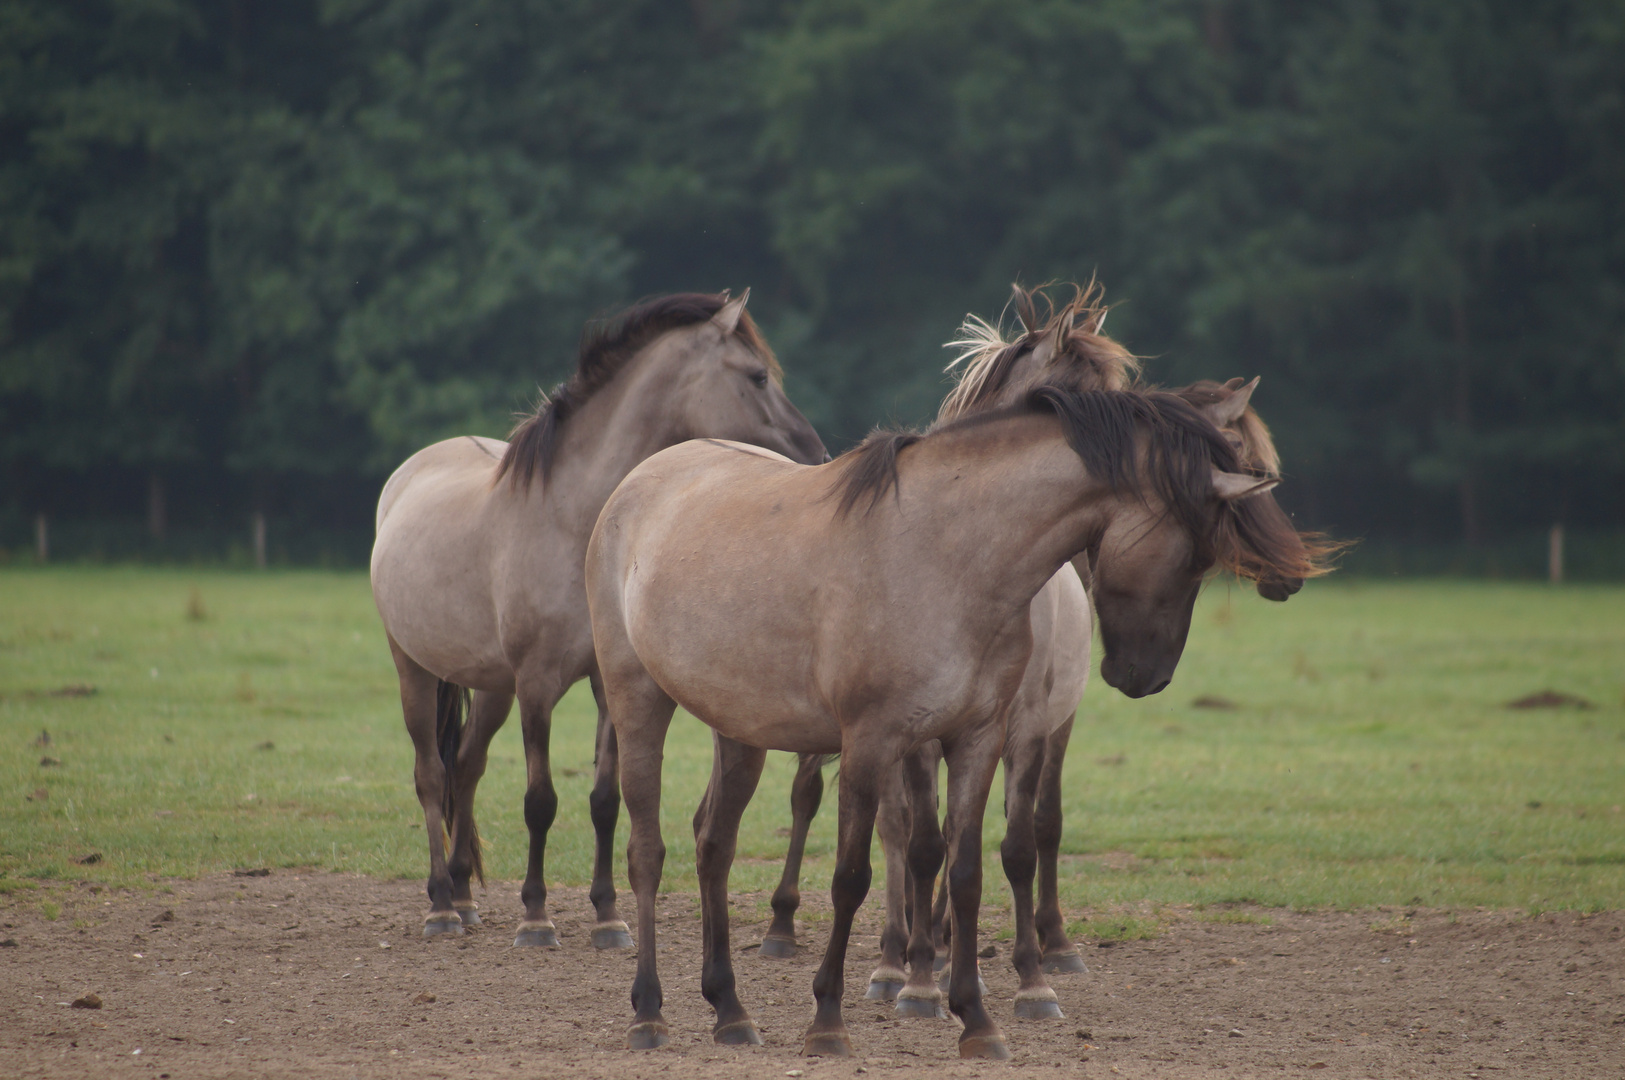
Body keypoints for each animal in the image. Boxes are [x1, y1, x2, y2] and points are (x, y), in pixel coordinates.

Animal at [368, 290, 825, 941]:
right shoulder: (537, 686)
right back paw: (440, 906)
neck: (570, 519)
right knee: (431, 774)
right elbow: (540, 801)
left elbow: (605, 800)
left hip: (492, 686)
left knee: (467, 767)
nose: (819, 454)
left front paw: (608, 914)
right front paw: (536, 916)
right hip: (415, 668)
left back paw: (464, 894)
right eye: (758, 376)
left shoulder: (606, 684)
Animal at [591, 368, 1326, 1052]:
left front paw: (976, 1019)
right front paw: (828, 1021)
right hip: (637, 701)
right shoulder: (872, 744)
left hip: (739, 729)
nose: (1142, 676)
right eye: (1197, 552)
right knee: (646, 849)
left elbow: (967, 871)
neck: (947, 558)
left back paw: (730, 1011)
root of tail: (637, 481)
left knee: (713, 845)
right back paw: (648, 1013)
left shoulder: (979, 739)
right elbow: (853, 877)